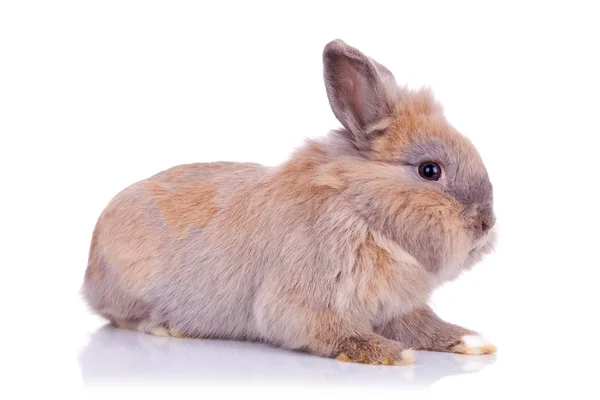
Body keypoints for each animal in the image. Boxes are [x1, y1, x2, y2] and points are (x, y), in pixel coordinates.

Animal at [83, 38, 496, 366]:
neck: (361, 210)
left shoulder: (398, 307)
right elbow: (333, 330)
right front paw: (388, 352)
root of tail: (91, 269)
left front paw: (472, 340)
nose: (486, 225)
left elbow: (425, 325)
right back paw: (167, 327)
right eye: (430, 170)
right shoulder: (304, 300)